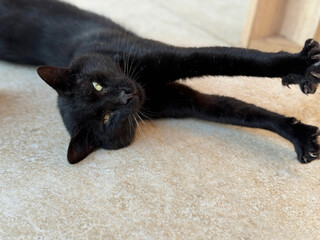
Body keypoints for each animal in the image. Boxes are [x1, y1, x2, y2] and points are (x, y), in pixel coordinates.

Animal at [0, 0, 320, 163]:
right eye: (106, 118)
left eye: (97, 85)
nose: (126, 97)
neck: (148, 90)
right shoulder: (190, 102)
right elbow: (244, 112)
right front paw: (300, 137)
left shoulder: (167, 57)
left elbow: (238, 60)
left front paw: (302, 65)